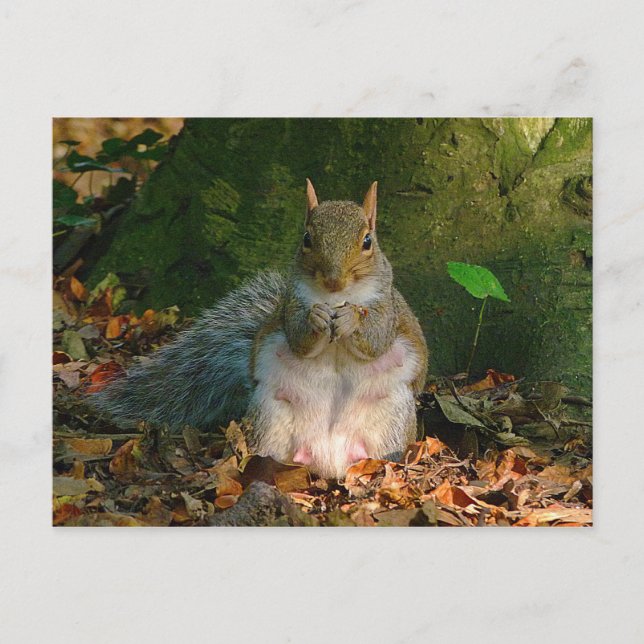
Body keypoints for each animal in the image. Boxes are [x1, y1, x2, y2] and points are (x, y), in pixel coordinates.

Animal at [92, 180, 428, 478]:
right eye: (306, 239)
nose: (334, 280)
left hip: (391, 418)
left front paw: (350, 319)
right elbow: (299, 338)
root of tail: (328, 459)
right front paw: (316, 318)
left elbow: (376, 339)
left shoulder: (387, 309)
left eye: (367, 241)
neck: (335, 297)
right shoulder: (291, 305)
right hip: (270, 415)